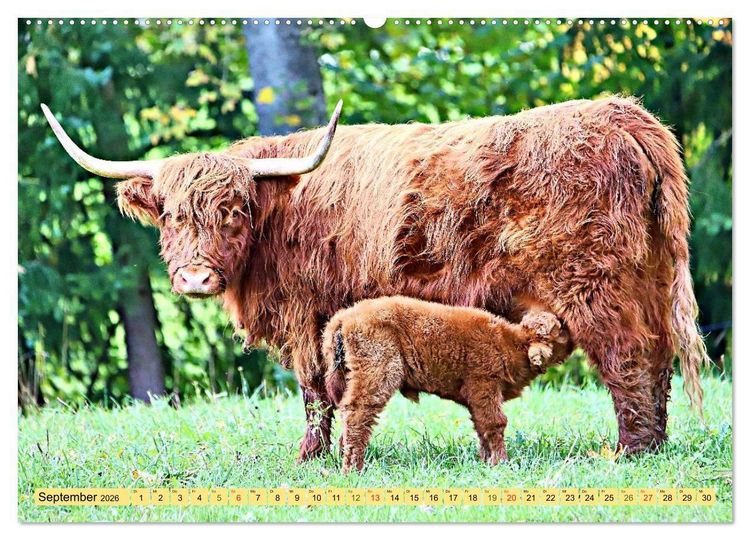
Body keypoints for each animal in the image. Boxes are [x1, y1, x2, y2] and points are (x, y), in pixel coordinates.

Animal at [41, 95, 709, 461]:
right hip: (647, 279)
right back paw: (653, 446)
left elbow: (316, 390)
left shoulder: (309, 315)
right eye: (175, 215)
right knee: (657, 361)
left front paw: (311, 459)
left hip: (594, 286)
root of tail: (623, 115)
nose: (197, 279)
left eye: (232, 212)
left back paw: (627, 453)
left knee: (627, 359)